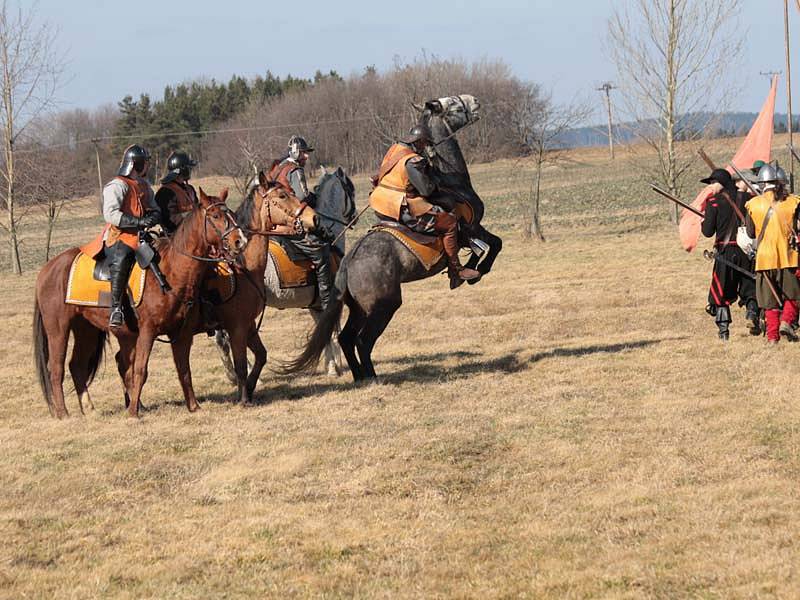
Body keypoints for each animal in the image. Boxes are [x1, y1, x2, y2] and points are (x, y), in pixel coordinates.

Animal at [33, 189, 247, 418]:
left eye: (231, 213)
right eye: (215, 215)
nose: (240, 241)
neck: (171, 270)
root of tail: (47, 269)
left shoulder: (181, 334)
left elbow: (183, 369)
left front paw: (194, 406)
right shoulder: (147, 331)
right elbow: (140, 370)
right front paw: (133, 412)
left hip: (86, 329)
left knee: (77, 365)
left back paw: (89, 409)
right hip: (58, 329)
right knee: (56, 368)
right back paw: (63, 412)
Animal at [282, 96, 504, 382]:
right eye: (454, 104)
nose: (475, 101)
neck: (451, 181)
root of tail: (347, 265)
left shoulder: (471, 232)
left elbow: (485, 246)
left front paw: (468, 270)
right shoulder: (471, 227)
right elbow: (494, 244)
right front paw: (476, 270)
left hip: (359, 308)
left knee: (346, 338)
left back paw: (360, 377)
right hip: (384, 306)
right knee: (362, 341)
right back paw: (372, 377)